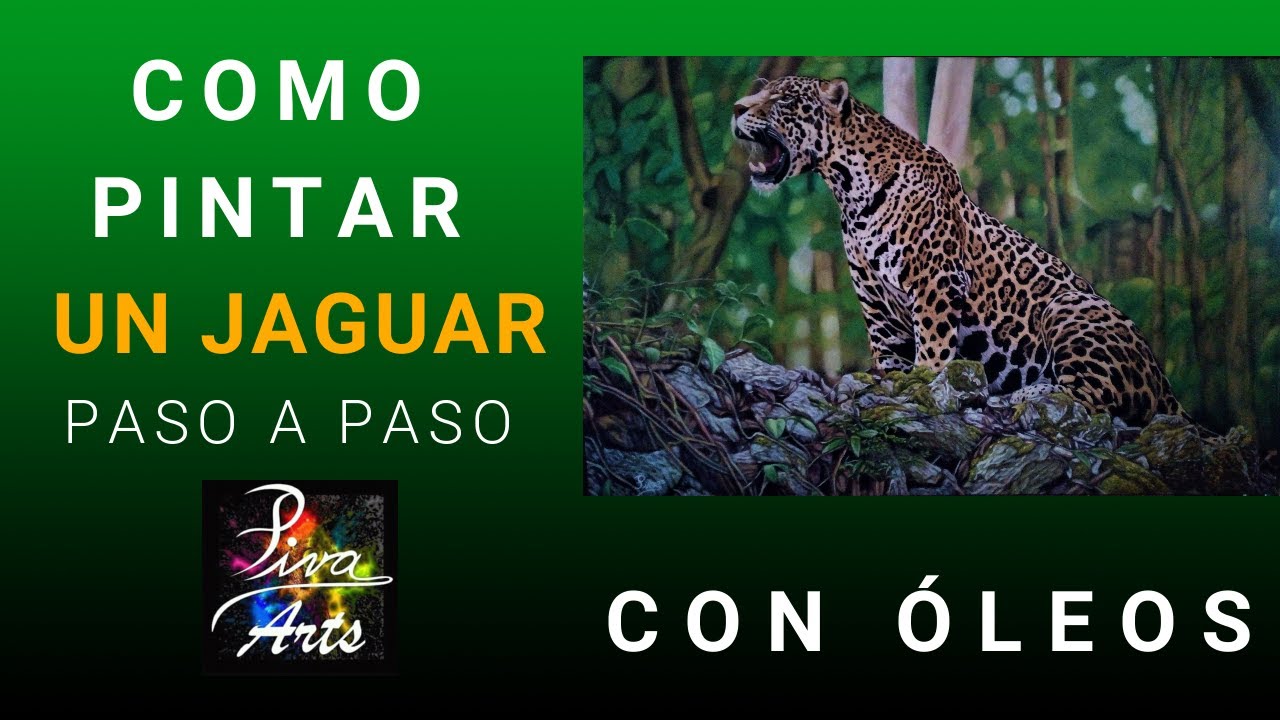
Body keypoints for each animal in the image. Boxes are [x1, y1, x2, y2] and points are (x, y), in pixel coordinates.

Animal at [732, 75, 1182, 426]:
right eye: (760, 90)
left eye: (783, 99)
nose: (736, 108)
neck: (847, 191)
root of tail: (1163, 381)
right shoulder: (875, 303)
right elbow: (888, 355)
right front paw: (885, 383)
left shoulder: (934, 281)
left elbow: (932, 349)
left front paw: (923, 384)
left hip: (1070, 307)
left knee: (1093, 399)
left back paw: (1014, 395)